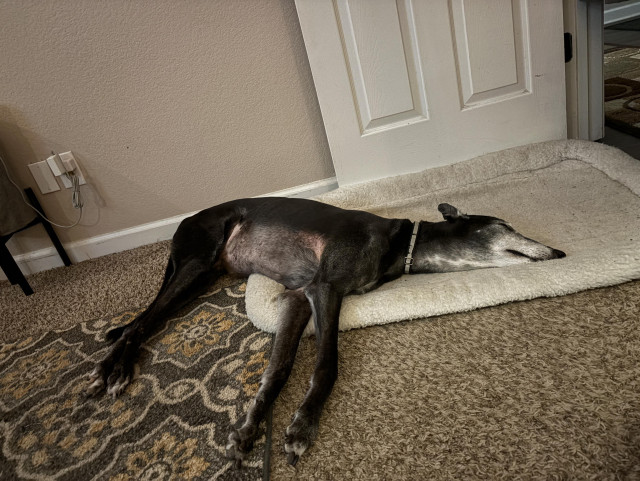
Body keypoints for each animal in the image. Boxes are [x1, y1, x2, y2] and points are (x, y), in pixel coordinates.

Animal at [86, 196, 564, 464]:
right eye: (506, 226)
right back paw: (113, 370)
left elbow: (279, 370)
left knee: (148, 319)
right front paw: (301, 427)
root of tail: (182, 225)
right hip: (197, 262)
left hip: (203, 274)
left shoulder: (298, 297)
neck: (400, 242)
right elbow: (327, 366)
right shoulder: (323, 289)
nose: (560, 252)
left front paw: (251, 429)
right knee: (142, 323)